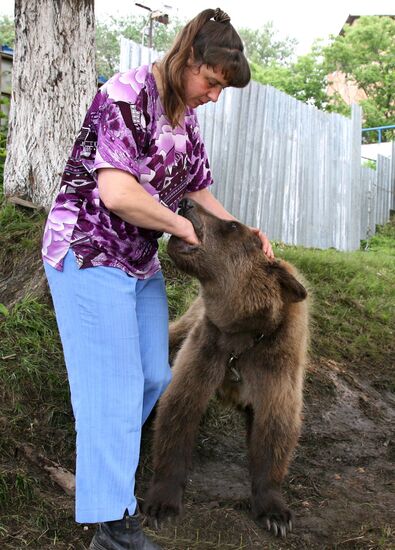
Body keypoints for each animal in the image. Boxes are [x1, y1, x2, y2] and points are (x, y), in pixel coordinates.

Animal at [145, 198, 310, 540]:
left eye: (233, 225)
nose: (186, 202)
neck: (246, 332)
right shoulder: (210, 346)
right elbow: (180, 409)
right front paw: (163, 504)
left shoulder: (275, 362)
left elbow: (276, 427)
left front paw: (275, 512)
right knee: (170, 336)